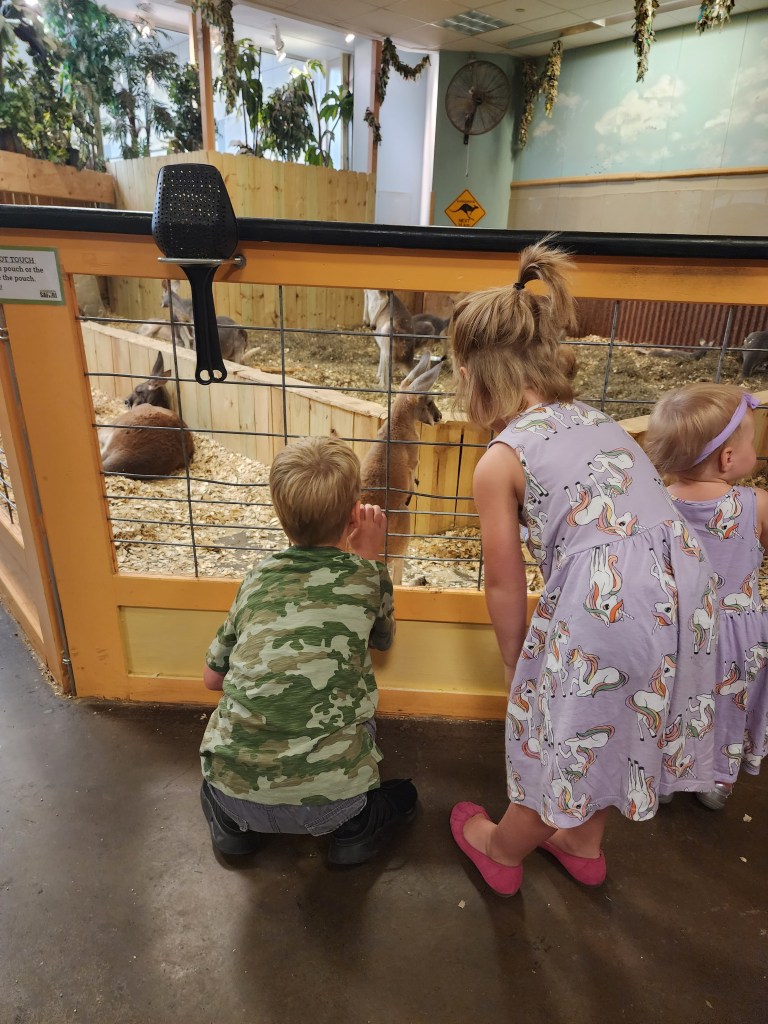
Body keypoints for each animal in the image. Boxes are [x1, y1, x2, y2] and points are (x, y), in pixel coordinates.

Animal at [360, 353, 443, 584]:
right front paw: (413, 488)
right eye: (430, 402)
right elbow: (412, 474)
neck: (397, 421)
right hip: (403, 526)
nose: (440, 417)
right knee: (397, 565)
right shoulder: (413, 455)